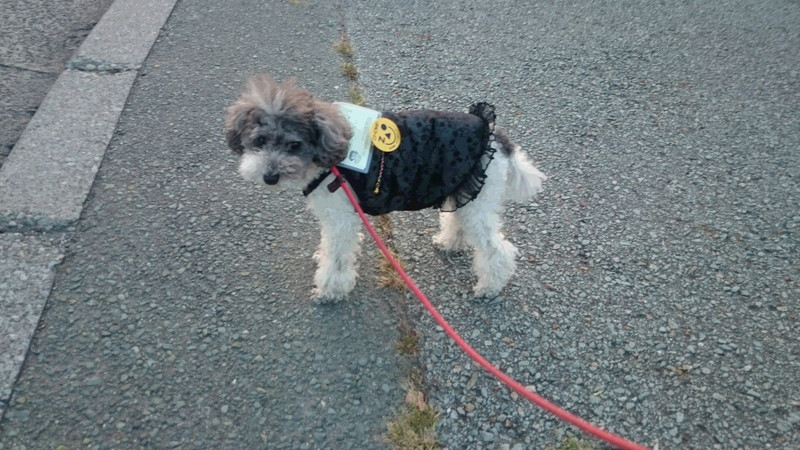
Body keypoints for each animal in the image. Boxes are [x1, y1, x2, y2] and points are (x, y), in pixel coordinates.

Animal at [225, 75, 546, 302]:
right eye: (259, 140)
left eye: (294, 145)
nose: (270, 177)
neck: (329, 157)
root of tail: (493, 132)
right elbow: (330, 247)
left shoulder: (341, 217)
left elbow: (337, 258)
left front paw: (329, 291)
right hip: (463, 189)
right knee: (458, 220)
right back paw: (449, 242)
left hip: (478, 201)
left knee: (495, 249)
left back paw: (489, 287)